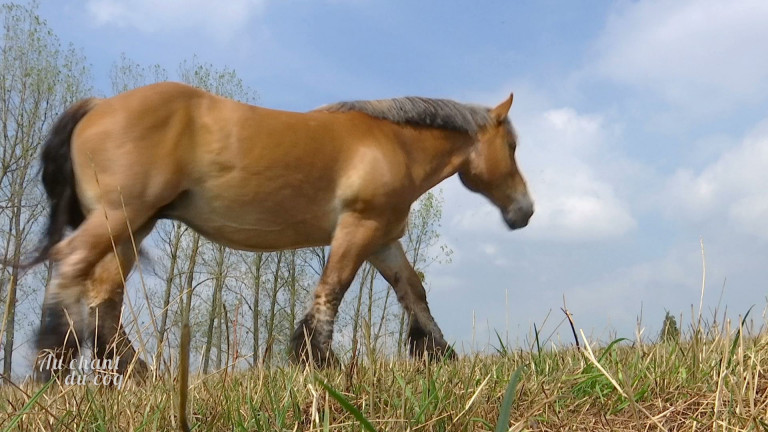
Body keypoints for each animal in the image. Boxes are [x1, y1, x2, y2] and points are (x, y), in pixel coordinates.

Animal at [27, 81, 532, 382]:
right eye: (511, 145)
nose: (524, 211)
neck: (393, 144)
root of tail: (98, 106)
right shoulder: (358, 227)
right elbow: (333, 289)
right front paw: (319, 362)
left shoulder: (383, 239)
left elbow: (413, 291)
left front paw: (441, 354)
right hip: (119, 219)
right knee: (71, 266)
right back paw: (52, 365)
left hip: (133, 228)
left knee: (104, 298)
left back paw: (137, 375)